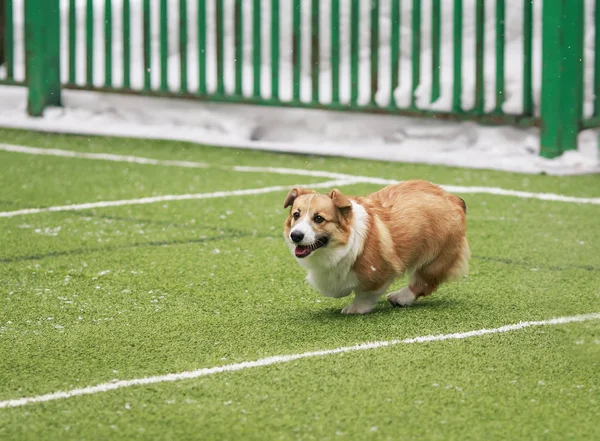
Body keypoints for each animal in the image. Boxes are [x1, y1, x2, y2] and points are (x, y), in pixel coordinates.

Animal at [284, 180, 472, 314]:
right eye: (296, 215)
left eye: (319, 219)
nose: (295, 235)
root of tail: (453, 198)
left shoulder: (379, 273)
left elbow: (365, 293)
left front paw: (356, 308)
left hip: (436, 258)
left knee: (424, 282)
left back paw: (400, 297)